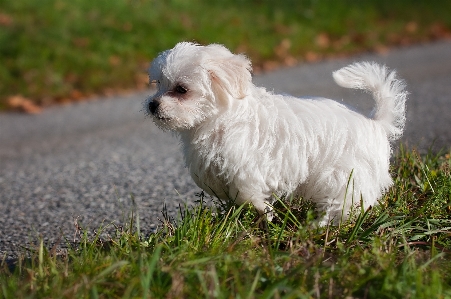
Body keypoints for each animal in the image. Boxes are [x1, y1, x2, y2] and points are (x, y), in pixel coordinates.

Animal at [146, 41, 410, 225]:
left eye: (181, 89)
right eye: (158, 84)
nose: (152, 105)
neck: (220, 119)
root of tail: (375, 122)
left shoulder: (246, 169)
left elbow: (248, 195)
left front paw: (266, 214)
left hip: (343, 175)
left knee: (346, 203)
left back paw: (319, 226)